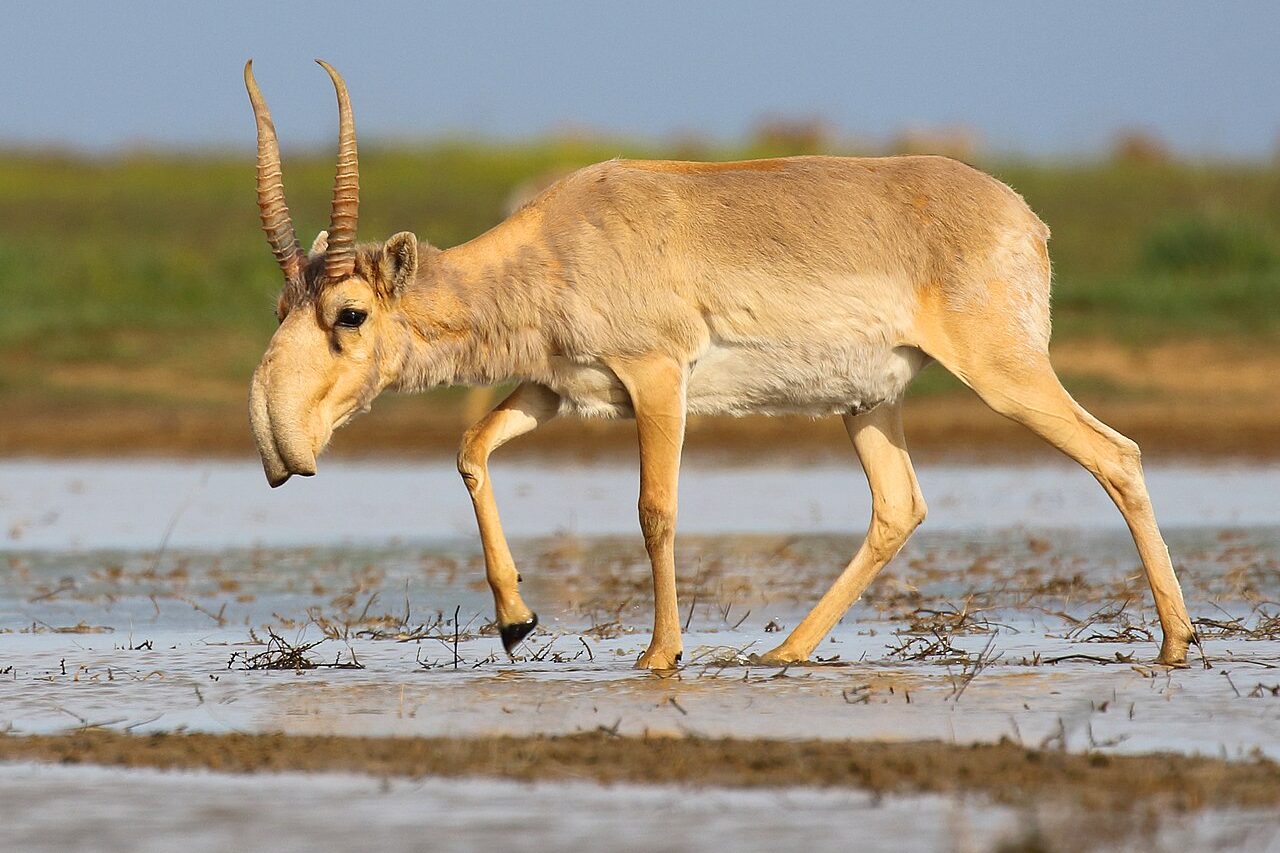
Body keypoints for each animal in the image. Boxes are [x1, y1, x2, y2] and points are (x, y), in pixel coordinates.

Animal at [245, 61, 1197, 670]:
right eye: (281, 305)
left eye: (349, 313)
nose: (275, 440)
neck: (558, 239)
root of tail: (1024, 217)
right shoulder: (558, 389)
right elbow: (471, 449)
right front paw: (517, 622)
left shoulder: (658, 379)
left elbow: (655, 510)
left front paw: (659, 654)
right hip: (867, 403)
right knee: (899, 506)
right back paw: (785, 650)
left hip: (1005, 374)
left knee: (1116, 454)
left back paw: (1177, 641)